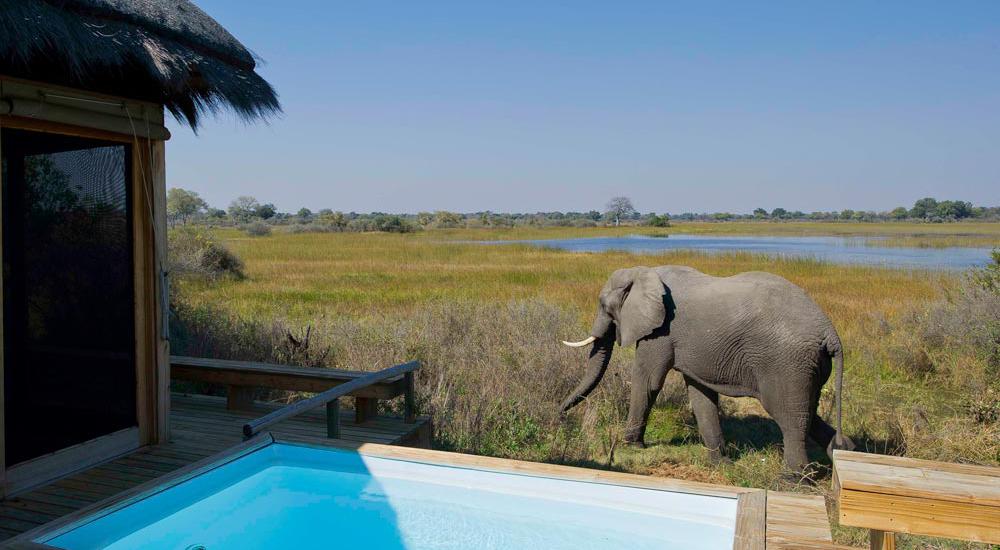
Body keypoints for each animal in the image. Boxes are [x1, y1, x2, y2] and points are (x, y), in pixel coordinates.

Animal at [560, 266, 856, 472]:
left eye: (604, 306)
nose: (560, 413)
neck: (644, 271)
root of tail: (830, 333)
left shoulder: (661, 332)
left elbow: (648, 382)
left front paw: (631, 445)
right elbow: (700, 393)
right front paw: (720, 461)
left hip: (786, 363)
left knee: (789, 415)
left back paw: (793, 477)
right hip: (807, 367)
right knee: (806, 410)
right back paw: (845, 452)